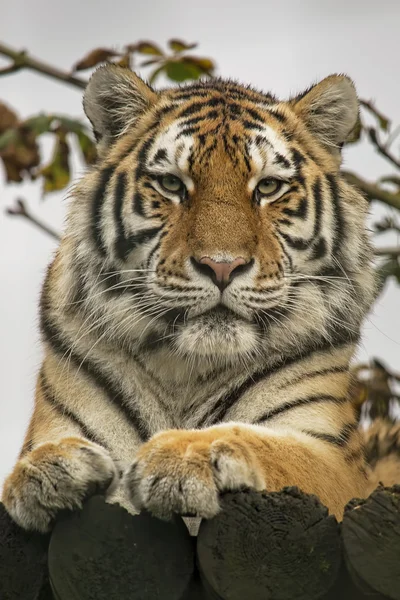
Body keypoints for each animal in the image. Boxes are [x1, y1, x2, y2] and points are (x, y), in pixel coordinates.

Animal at [2, 67, 396, 536]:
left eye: (268, 187)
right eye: (172, 183)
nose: (222, 266)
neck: (185, 371)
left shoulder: (333, 459)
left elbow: (269, 445)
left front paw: (185, 455)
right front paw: (48, 467)